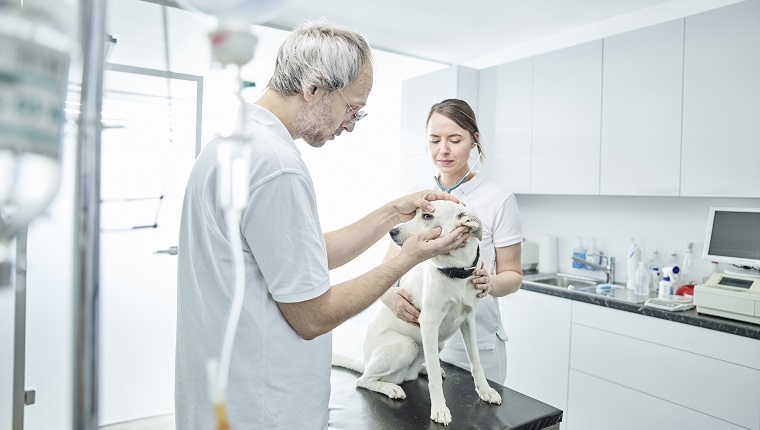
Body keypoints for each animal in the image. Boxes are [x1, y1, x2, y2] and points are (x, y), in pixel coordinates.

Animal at [334, 200, 502, 424]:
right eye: (414, 213)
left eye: (427, 216)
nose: (392, 231)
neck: (455, 272)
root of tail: (365, 361)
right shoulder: (429, 323)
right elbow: (435, 381)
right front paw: (439, 408)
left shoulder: (468, 321)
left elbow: (476, 361)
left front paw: (485, 390)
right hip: (406, 345)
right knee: (363, 380)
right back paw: (391, 388)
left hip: (437, 343)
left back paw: (423, 369)